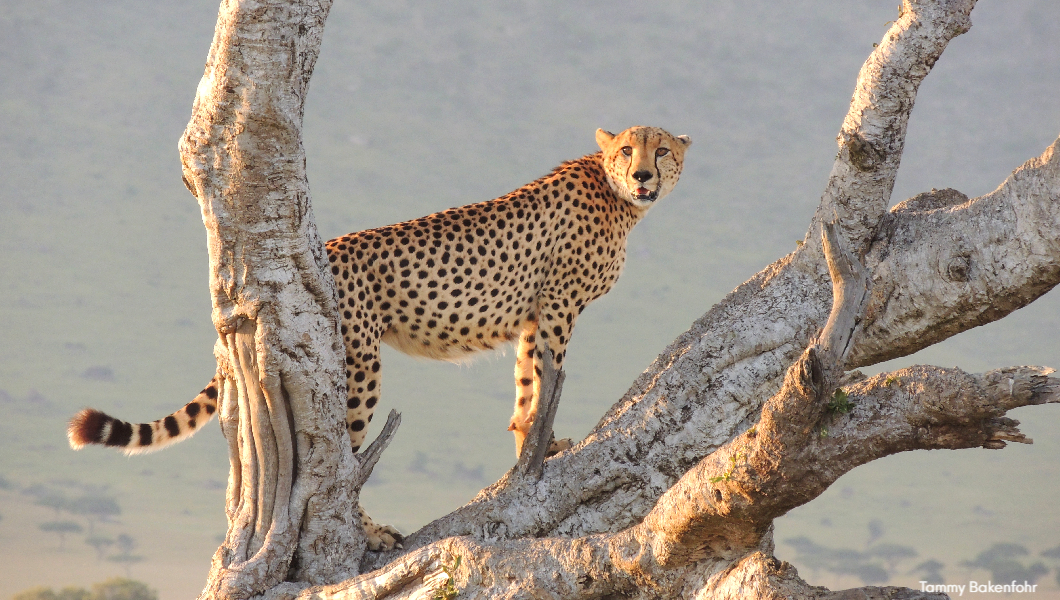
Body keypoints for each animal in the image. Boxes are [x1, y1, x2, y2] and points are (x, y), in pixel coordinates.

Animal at [68, 125, 691, 551]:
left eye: (660, 150)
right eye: (626, 151)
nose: (643, 176)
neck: (614, 195)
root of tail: (326, 249)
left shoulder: (534, 313)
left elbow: (525, 386)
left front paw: (529, 448)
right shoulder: (558, 307)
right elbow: (547, 375)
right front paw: (542, 439)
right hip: (360, 363)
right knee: (339, 466)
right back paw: (371, 533)